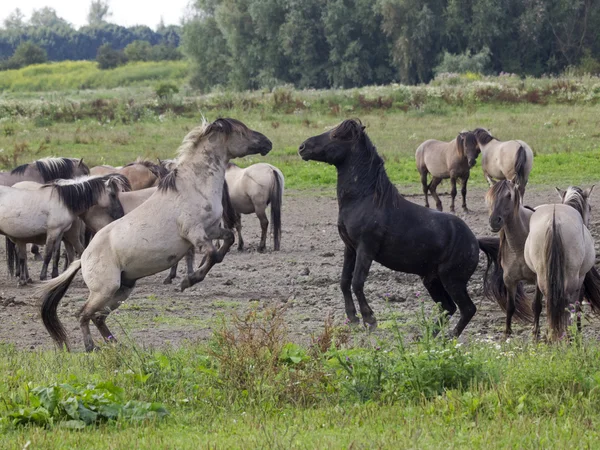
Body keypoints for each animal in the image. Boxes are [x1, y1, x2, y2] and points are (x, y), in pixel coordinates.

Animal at [0, 175, 130, 284]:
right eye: (113, 195)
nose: (121, 214)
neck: (62, 202)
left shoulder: (60, 233)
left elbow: (55, 255)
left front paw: (54, 275)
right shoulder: (53, 232)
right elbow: (48, 254)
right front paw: (43, 276)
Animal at [38, 118, 272, 350]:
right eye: (241, 132)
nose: (267, 143)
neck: (194, 187)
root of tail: (84, 258)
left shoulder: (212, 229)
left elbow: (227, 241)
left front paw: (191, 277)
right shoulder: (194, 232)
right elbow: (213, 254)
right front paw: (188, 281)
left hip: (122, 290)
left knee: (98, 317)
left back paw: (118, 346)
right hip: (105, 290)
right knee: (83, 314)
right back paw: (91, 347)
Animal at [298, 118, 486, 336]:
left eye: (336, 135)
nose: (302, 147)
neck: (365, 199)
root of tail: (475, 241)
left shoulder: (366, 249)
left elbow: (357, 282)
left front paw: (369, 319)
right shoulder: (350, 248)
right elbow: (344, 282)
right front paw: (353, 318)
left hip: (453, 280)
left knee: (467, 309)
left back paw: (449, 338)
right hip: (432, 280)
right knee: (449, 308)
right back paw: (428, 338)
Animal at [480, 179, 536, 338]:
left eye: (509, 195)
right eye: (489, 196)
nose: (494, 221)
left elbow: (536, 306)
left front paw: (536, 333)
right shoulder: (509, 280)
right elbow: (510, 307)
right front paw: (507, 334)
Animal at [524, 185, 600, 340]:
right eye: (589, 207)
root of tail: (554, 220)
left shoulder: (536, 275)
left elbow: (536, 304)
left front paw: (536, 333)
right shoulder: (580, 278)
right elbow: (577, 305)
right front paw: (577, 332)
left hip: (543, 275)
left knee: (549, 302)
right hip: (571, 277)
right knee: (566, 304)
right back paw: (566, 335)